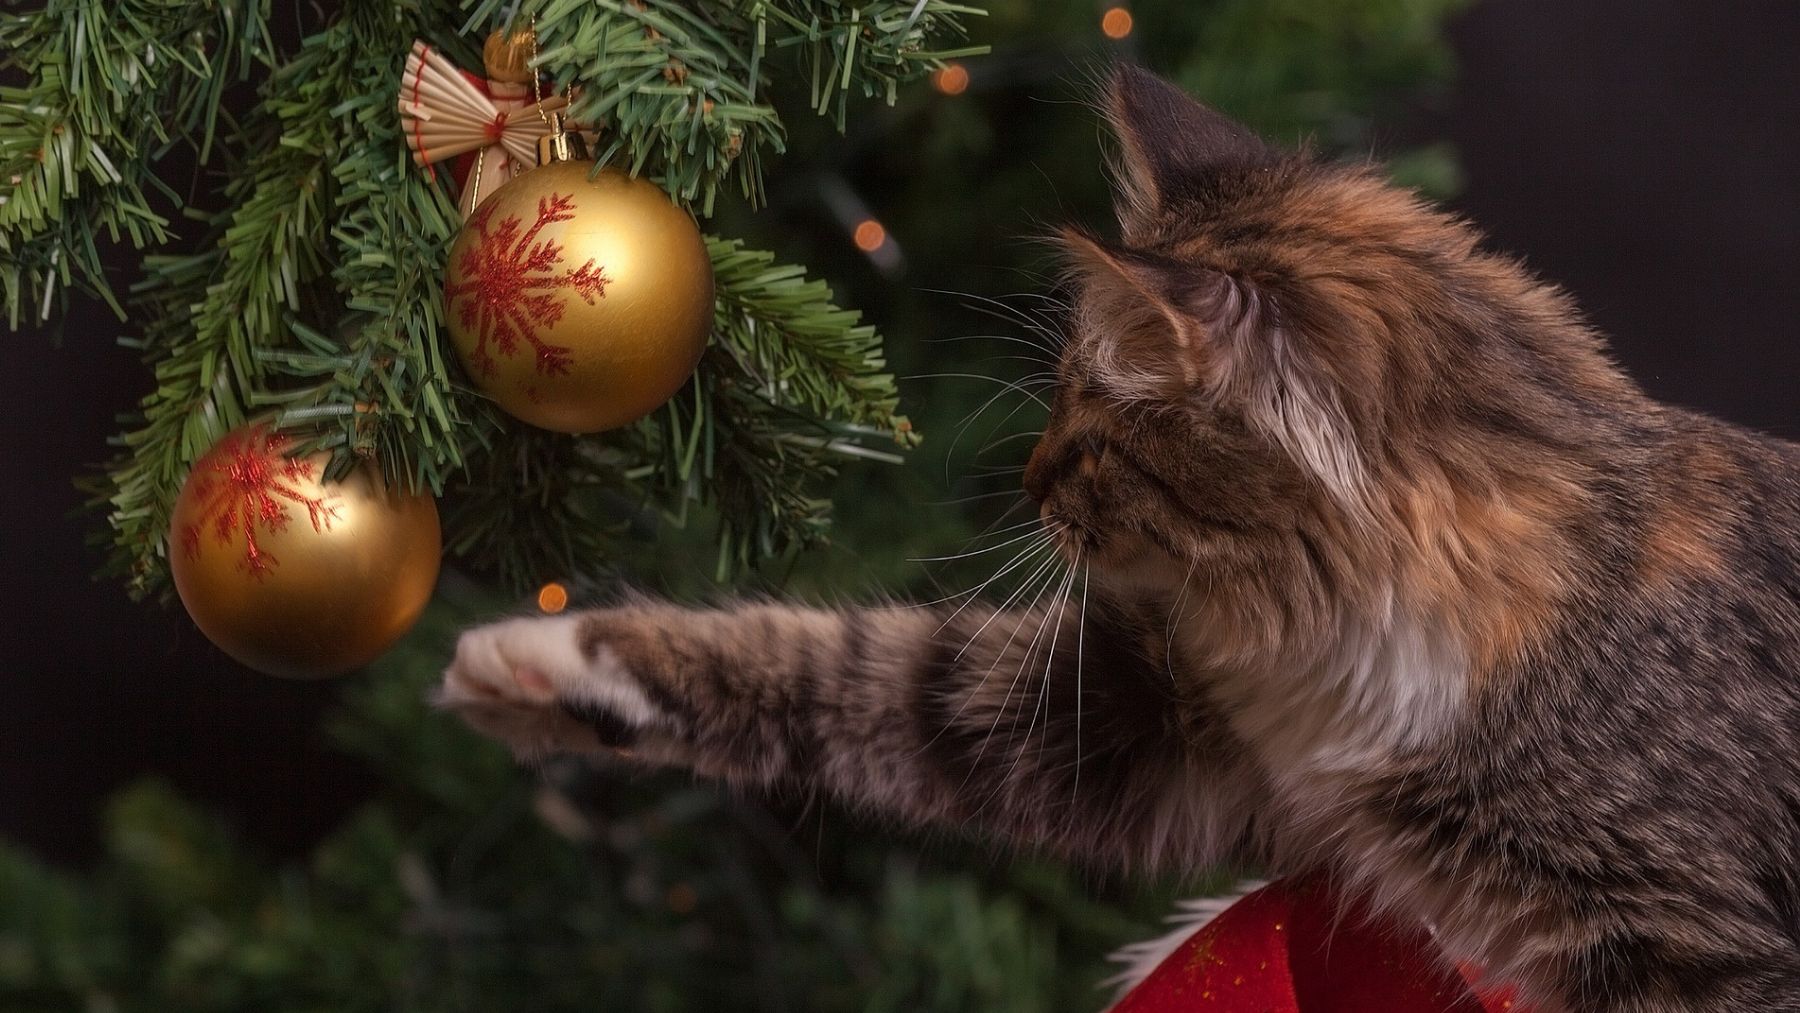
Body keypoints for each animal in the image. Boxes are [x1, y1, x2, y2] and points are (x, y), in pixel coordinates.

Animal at [442, 65, 1800, 1013]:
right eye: (1055, 400)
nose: (1030, 479)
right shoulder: (1156, 723)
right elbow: (850, 669)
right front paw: (545, 665)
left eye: (1092, 428)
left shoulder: (1695, 940)